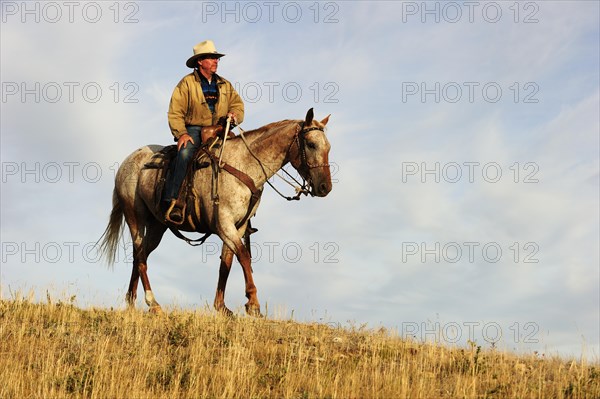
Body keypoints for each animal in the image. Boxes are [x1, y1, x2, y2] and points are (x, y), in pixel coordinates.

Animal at [98, 108, 332, 318]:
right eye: (311, 144)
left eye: (328, 147)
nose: (325, 187)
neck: (244, 165)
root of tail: (127, 162)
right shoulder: (224, 224)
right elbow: (243, 257)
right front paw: (253, 303)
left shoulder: (238, 226)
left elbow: (226, 263)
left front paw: (222, 307)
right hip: (134, 216)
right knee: (139, 255)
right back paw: (152, 302)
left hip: (158, 225)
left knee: (141, 256)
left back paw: (131, 301)